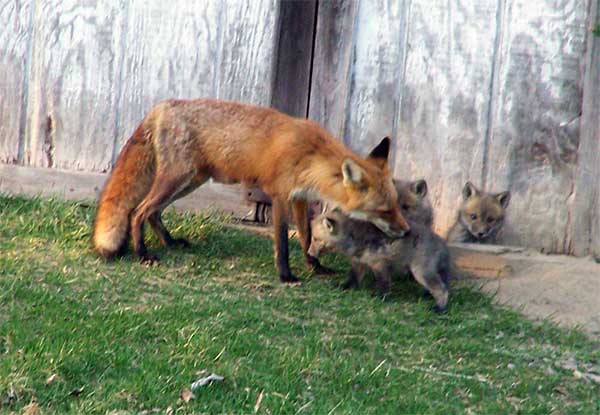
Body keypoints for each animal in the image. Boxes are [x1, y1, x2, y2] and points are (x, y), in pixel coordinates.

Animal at [94, 99, 410, 284]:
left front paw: (315, 265)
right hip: (177, 179)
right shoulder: (280, 196)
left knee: (153, 213)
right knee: (138, 211)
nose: (406, 231)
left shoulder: (300, 198)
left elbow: (306, 236)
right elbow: (282, 242)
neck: (310, 156)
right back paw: (143, 253)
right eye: (384, 210)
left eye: (397, 205)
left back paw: (171, 242)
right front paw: (286, 275)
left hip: (190, 181)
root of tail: (162, 105)